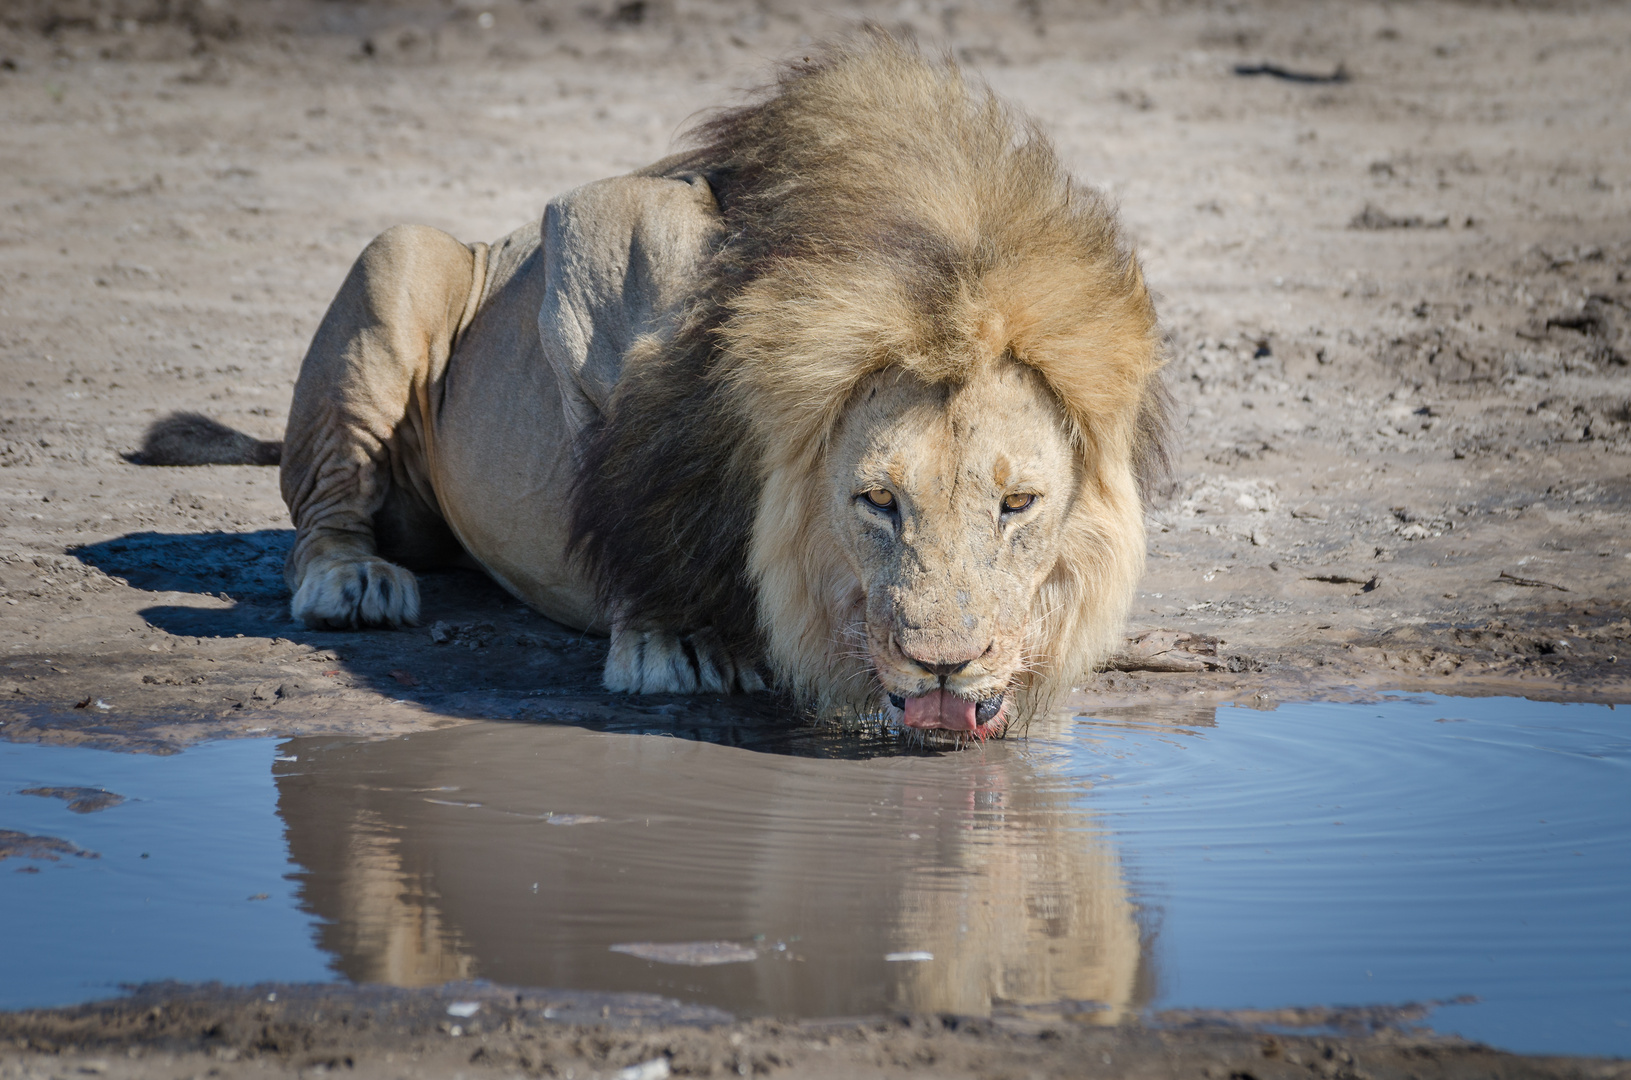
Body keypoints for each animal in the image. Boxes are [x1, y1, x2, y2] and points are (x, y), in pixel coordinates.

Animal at [223, 35, 1167, 743]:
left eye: (1018, 505)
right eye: (876, 501)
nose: (944, 663)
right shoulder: (602, 229)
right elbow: (619, 461)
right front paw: (671, 636)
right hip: (400, 259)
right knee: (325, 511)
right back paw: (353, 581)